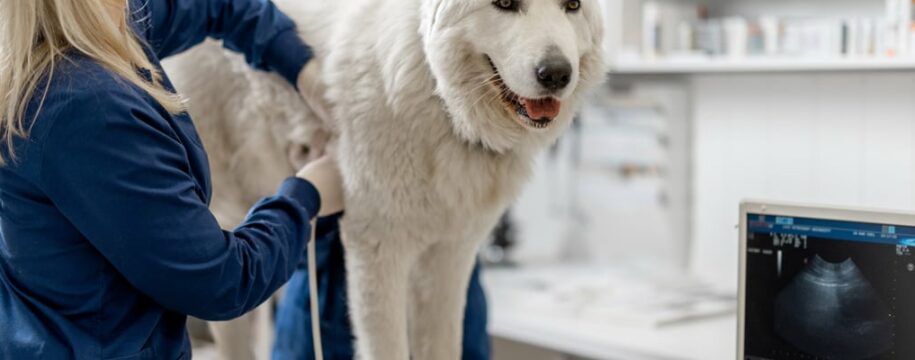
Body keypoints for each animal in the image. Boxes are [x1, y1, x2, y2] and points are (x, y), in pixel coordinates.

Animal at [167, 1, 604, 358]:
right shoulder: (378, 252)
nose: (556, 74)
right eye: (506, 3)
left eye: (572, 5)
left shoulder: (450, 256)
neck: (442, 104)